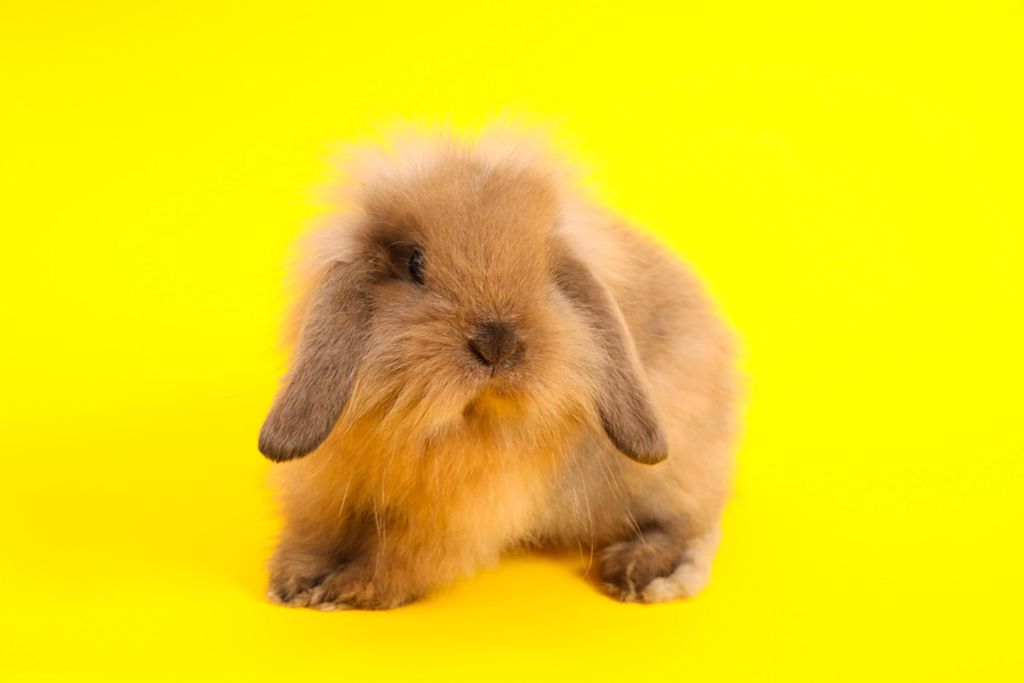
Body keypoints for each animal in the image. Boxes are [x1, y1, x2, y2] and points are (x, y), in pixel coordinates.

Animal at [258, 127, 741, 610]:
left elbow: (402, 558)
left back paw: (640, 571)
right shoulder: (322, 492)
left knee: (692, 526)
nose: (497, 344)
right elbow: (315, 535)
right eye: (415, 264)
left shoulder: (454, 518)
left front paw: (350, 590)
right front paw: (294, 582)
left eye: (544, 273)